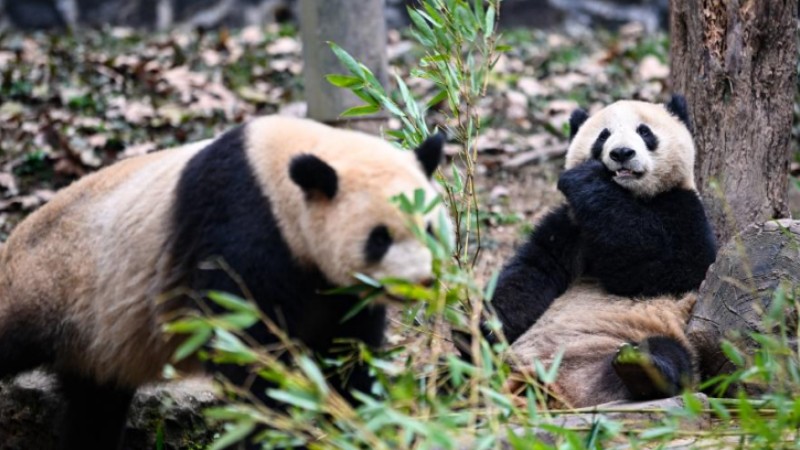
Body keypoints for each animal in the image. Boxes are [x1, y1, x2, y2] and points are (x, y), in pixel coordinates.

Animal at [0, 117, 450, 450]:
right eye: (379, 238)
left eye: (429, 228)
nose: (419, 282)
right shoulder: (241, 227)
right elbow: (247, 350)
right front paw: (278, 427)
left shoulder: (335, 288)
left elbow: (347, 351)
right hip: (50, 285)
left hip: (94, 340)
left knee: (94, 406)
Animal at [488, 96, 720, 408]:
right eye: (603, 136)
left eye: (644, 131)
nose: (621, 153)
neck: (629, 195)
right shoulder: (569, 225)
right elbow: (534, 270)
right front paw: (489, 324)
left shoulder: (683, 207)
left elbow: (673, 267)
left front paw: (588, 179)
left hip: (650, 335)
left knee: (673, 356)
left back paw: (639, 366)